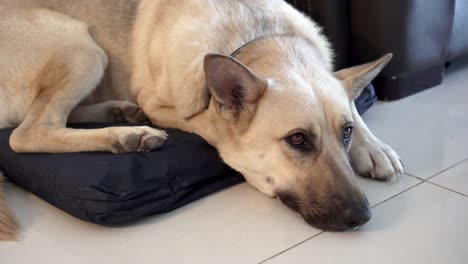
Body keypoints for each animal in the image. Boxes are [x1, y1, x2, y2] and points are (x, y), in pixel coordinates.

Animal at [0, 0, 402, 239]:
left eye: (346, 133)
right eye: (298, 139)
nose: (363, 216)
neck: (260, 36)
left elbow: (351, 100)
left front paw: (374, 147)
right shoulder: (164, 105)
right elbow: (207, 120)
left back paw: (119, 113)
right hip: (81, 46)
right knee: (27, 133)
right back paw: (125, 135)